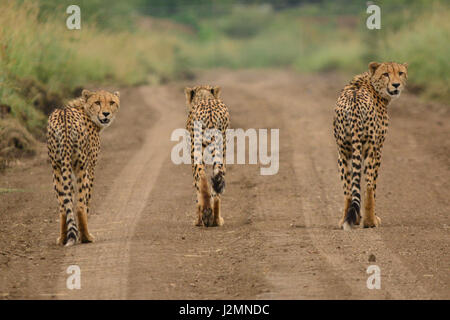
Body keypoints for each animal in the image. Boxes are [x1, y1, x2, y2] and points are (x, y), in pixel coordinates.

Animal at [47, 89, 119, 245]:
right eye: (97, 102)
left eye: (112, 102)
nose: (106, 114)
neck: (86, 111)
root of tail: (64, 117)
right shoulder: (91, 169)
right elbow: (86, 203)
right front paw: (82, 236)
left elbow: (68, 201)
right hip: (81, 168)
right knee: (80, 205)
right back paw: (87, 237)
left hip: (57, 168)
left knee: (63, 207)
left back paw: (62, 238)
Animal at [185, 84, 230, 226]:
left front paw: (198, 219)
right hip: (221, 151)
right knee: (217, 186)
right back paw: (216, 219)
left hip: (197, 150)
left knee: (201, 177)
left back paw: (204, 216)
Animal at [334, 61, 408, 230]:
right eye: (386, 74)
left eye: (400, 73)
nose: (396, 85)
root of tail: (354, 104)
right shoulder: (378, 148)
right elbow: (372, 186)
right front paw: (372, 219)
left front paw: (355, 219)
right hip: (370, 151)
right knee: (368, 186)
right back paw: (370, 221)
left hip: (343, 152)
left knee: (348, 190)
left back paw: (345, 220)